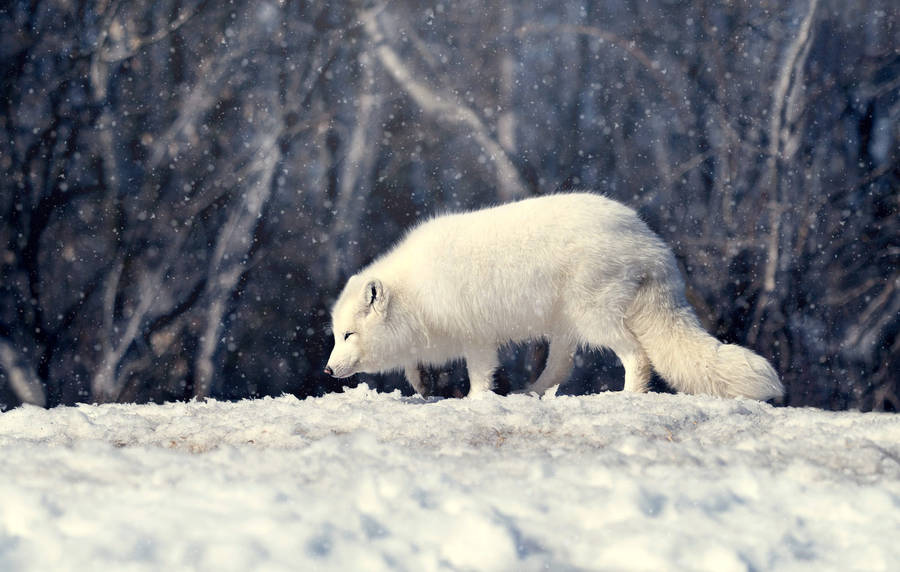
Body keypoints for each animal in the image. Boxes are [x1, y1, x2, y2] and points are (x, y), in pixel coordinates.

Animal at [324, 192, 783, 401]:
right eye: (336, 336)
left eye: (348, 336)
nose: (327, 370)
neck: (416, 293)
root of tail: (652, 244)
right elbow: (413, 369)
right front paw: (423, 387)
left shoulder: (477, 338)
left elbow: (480, 376)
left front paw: (475, 402)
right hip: (566, 326)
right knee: (560, 367)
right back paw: (531, 392)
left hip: (596, 319)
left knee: (638, 357)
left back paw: (626, 396)